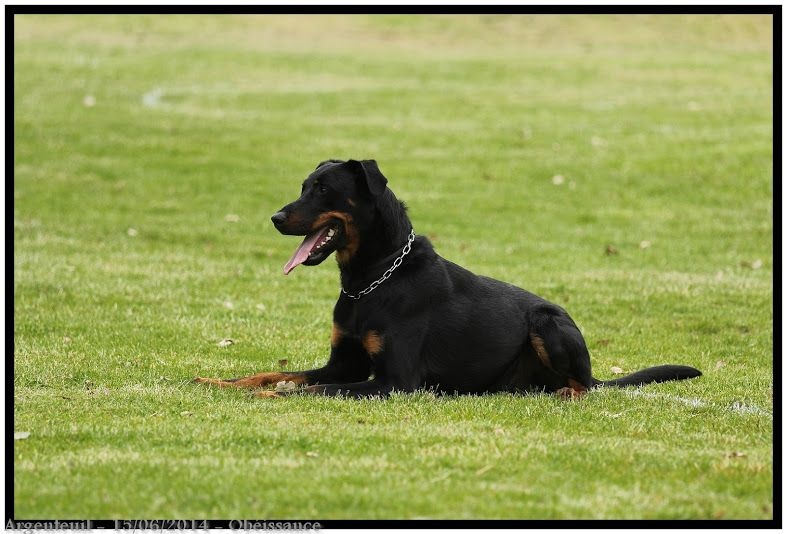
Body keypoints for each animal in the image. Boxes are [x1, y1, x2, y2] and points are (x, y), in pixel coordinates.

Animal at [195, 159, 700, 398]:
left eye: (322, 189)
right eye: (303, 186)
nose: (276, 218)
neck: (372, 278)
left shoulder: (394, 381)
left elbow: (317, 389)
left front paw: (274, 398)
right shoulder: (345, 364)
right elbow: (271, 374)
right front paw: (221, 383)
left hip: (547, 322)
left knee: (581, 387)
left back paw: (568, 393)